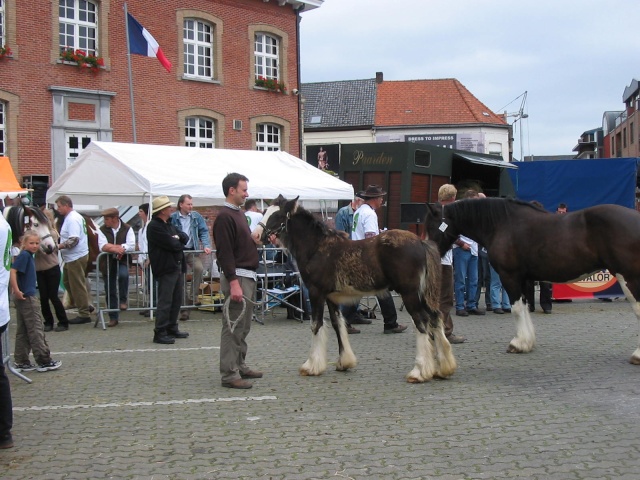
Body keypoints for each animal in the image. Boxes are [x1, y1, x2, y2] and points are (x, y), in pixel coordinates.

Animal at [255, 195, 456, 382]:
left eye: (277, 215)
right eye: (265, 211)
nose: (257, 235)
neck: (318, 248)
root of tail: (421, 243)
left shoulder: (316, 292)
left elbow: (316, 325)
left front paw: (311, 366)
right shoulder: (331, 297)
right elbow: (337, 324)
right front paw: (344, 362)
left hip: (410, 294)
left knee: (422, 322)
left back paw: (419, 372)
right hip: (423, 294)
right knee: (435, 317)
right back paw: (443, 368)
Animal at [424, 196, 640, 364]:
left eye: (432, 225)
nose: (431, 254)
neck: (502, 224)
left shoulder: (510, 276)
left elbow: (517, 309)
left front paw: (518, 344)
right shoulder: (524, 279)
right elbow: (525, 307)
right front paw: (527, 342)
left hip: (628, 278)